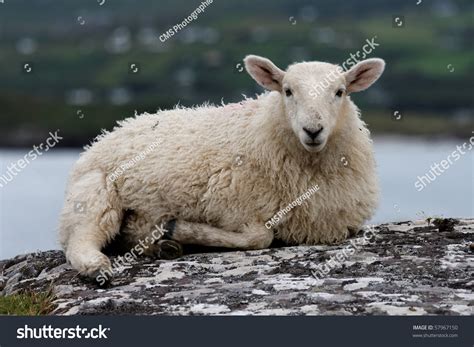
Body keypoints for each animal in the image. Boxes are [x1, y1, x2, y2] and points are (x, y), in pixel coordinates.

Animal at [59, 55, 386, 282]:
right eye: (288, 91)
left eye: (340, 91)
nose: (313, 130)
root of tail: (113, 130)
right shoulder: (225, 202)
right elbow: (260, 237)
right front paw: (182, 229)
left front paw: (172, 234)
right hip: (95, 192)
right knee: (80, 240)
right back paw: (97, 266)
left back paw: (160, 246)